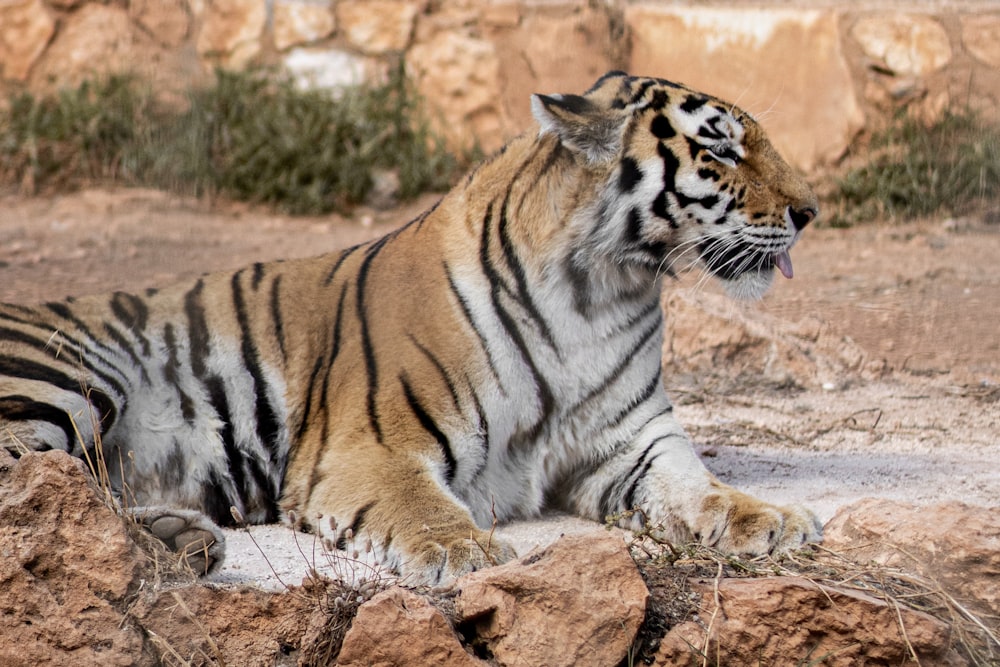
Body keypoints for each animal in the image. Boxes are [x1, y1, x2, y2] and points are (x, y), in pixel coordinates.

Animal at [0, 72, 820, 584]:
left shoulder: (633, 442)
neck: (600, 291)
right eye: (720, 147)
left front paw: (773, 517)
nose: (811, 211)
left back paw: (183, 542)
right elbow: (423, 507)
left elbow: (699, 486)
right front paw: (468, 554)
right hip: (73, 377)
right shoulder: (372, 448)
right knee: (32, 492)